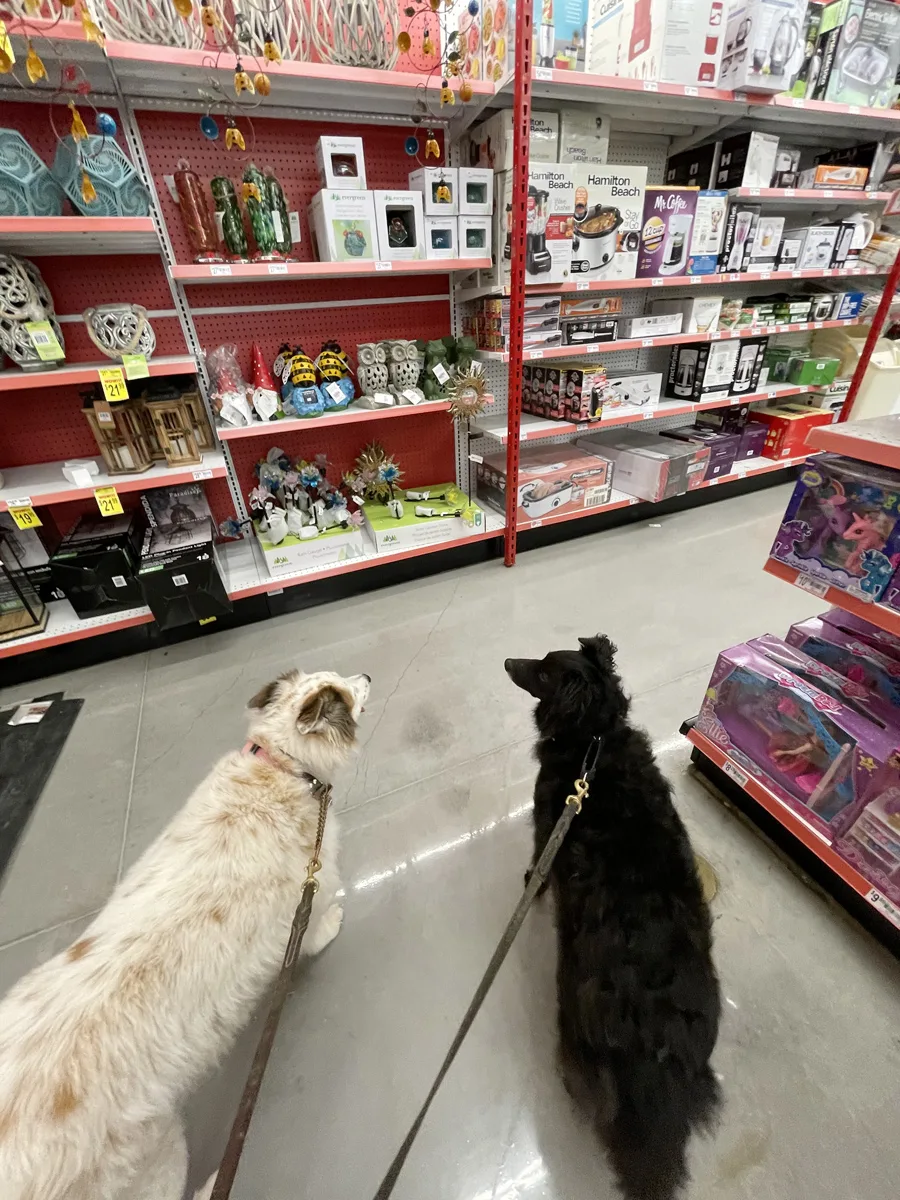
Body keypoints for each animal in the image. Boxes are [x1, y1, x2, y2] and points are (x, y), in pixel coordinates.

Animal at [0, 667, 369, 1200]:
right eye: (344, 689)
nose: (367, 675)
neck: (280, 765)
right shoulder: (313, 887)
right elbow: (316, 930)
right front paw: (333, 926)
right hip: (160, 1153)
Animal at [508, 633, 724, 1195]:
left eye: (544, 671)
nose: (507, 661)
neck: (594, 742)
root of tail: (658, 1036)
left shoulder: (547, 820)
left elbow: (537, 864)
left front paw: (530, 884)